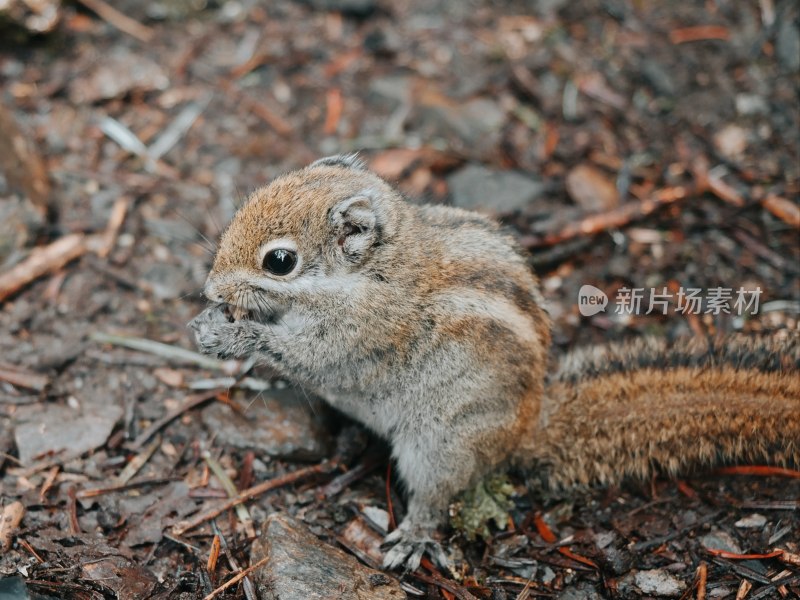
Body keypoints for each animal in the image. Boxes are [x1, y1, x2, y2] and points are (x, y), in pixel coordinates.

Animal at [191, 152, 800, 568]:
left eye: (279, 261)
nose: (210, 287)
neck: (374, 273)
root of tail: (527, 424)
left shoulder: (360, 333)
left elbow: (306, 356)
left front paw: (235, 336)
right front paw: (211, 321)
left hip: (439, 444)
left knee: (437, 495)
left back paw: (414, 538)